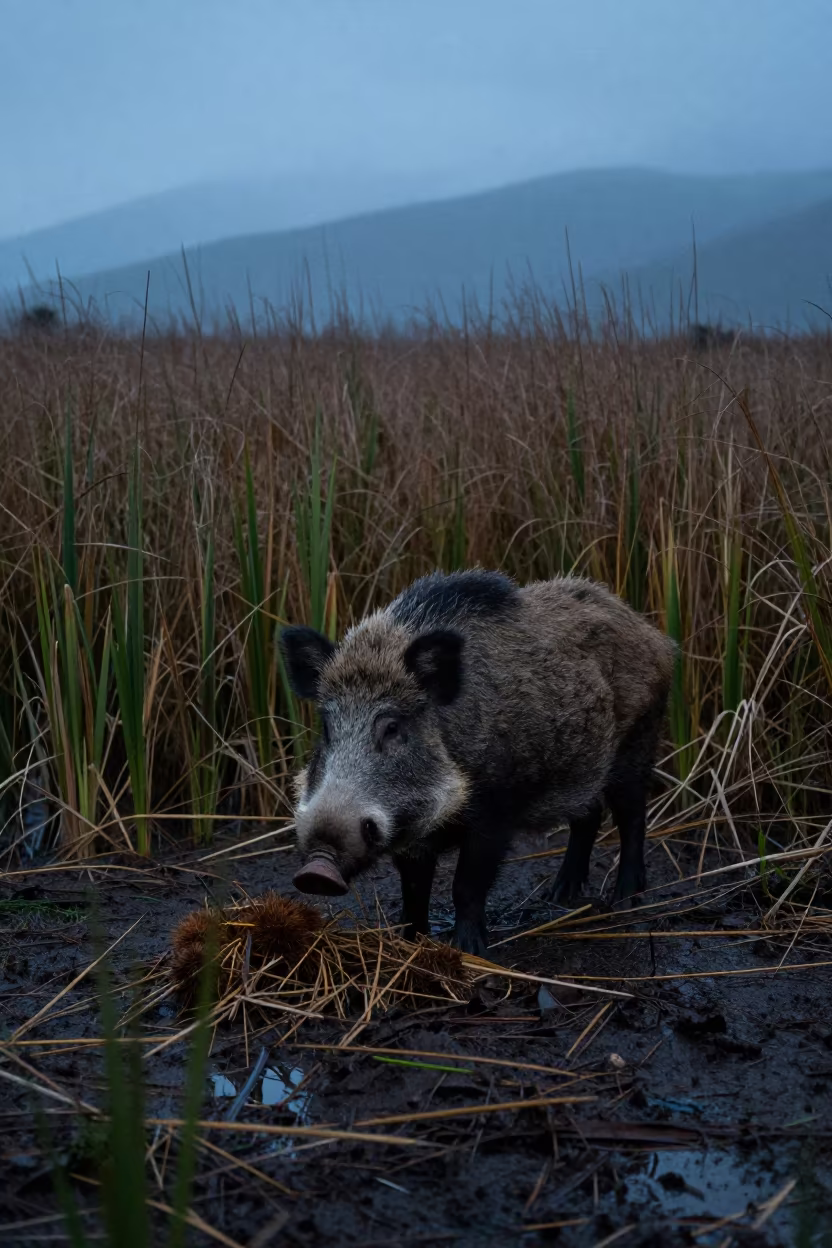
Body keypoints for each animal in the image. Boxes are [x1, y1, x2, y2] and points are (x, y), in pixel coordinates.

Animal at [280, 569, 675, 955]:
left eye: (392, 727)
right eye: (327, 727)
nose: (318, 869)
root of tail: (653, 635)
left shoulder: (494, 809)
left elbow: (466, 885)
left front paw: (469, 950)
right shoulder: (411, 832)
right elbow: (414, 889)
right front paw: (410, 943)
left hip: (637, 742)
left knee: (631, 816)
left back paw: (626, 900)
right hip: (581, 766)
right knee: (588, 816)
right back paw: (559, 895)